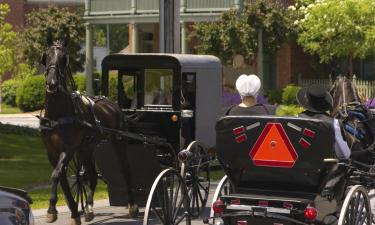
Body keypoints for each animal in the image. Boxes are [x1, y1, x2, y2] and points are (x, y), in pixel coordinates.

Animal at [39, 32, 138, 225]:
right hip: (87, 147)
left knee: (126, 169)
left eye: (64, 58)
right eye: (46, 56)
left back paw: (132, 206)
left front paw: (52, 209)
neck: (57, 114)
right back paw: (89, 208)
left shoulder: (68, 149)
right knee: (90, 174)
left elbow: (56, 175)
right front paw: (73, 212)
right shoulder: (52, 152)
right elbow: (61, 179)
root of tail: (112, 103)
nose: (52, 83)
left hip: (118, 142)